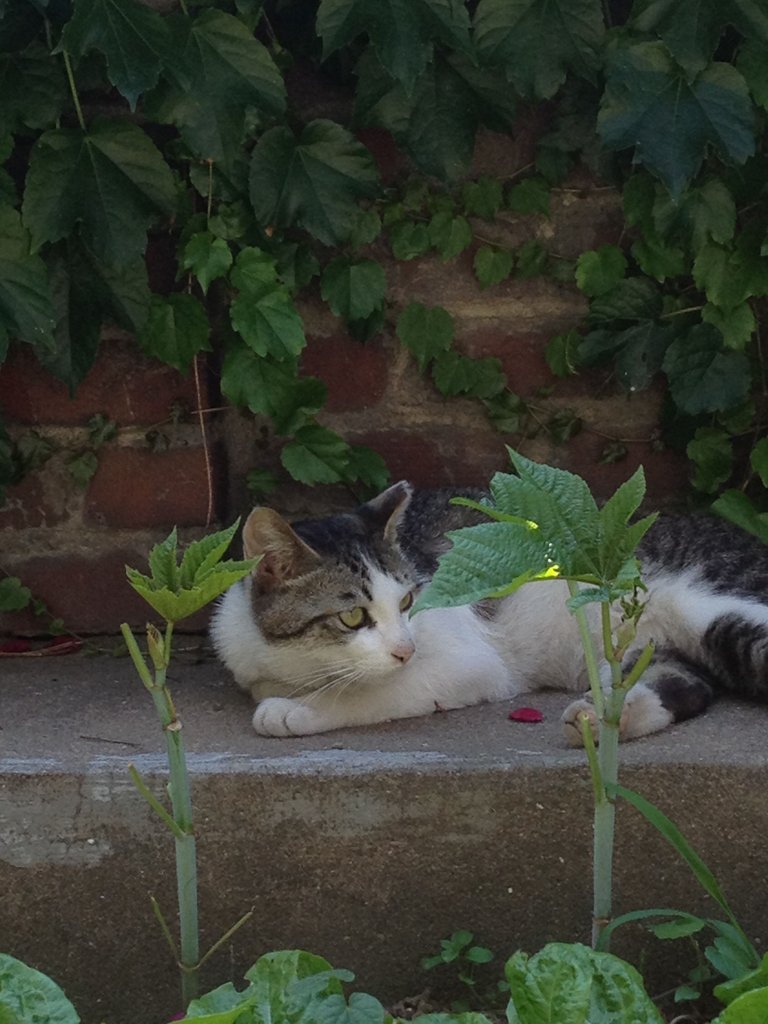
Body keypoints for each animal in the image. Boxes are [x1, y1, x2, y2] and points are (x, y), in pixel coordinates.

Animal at [210, 483, 768, 741]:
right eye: (352, 618)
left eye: (408, 601)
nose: (406, 648)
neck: (299, 664)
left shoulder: (470, 662)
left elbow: (376, 691)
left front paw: (298, 709)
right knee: (691, 682)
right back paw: (604, 716)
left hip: (715, 603)